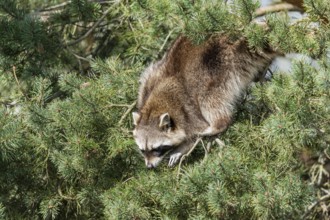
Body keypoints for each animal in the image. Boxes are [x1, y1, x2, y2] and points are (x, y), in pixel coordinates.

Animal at [131, 35, 278, 168]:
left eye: (156, 149)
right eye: (143, 150)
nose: (149, 166)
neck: (156, 107)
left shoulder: (188, 113)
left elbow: (194, 132)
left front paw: (180, 149)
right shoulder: (147, 84)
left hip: (220, 65)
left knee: (209, 98)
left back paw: (217, 125)